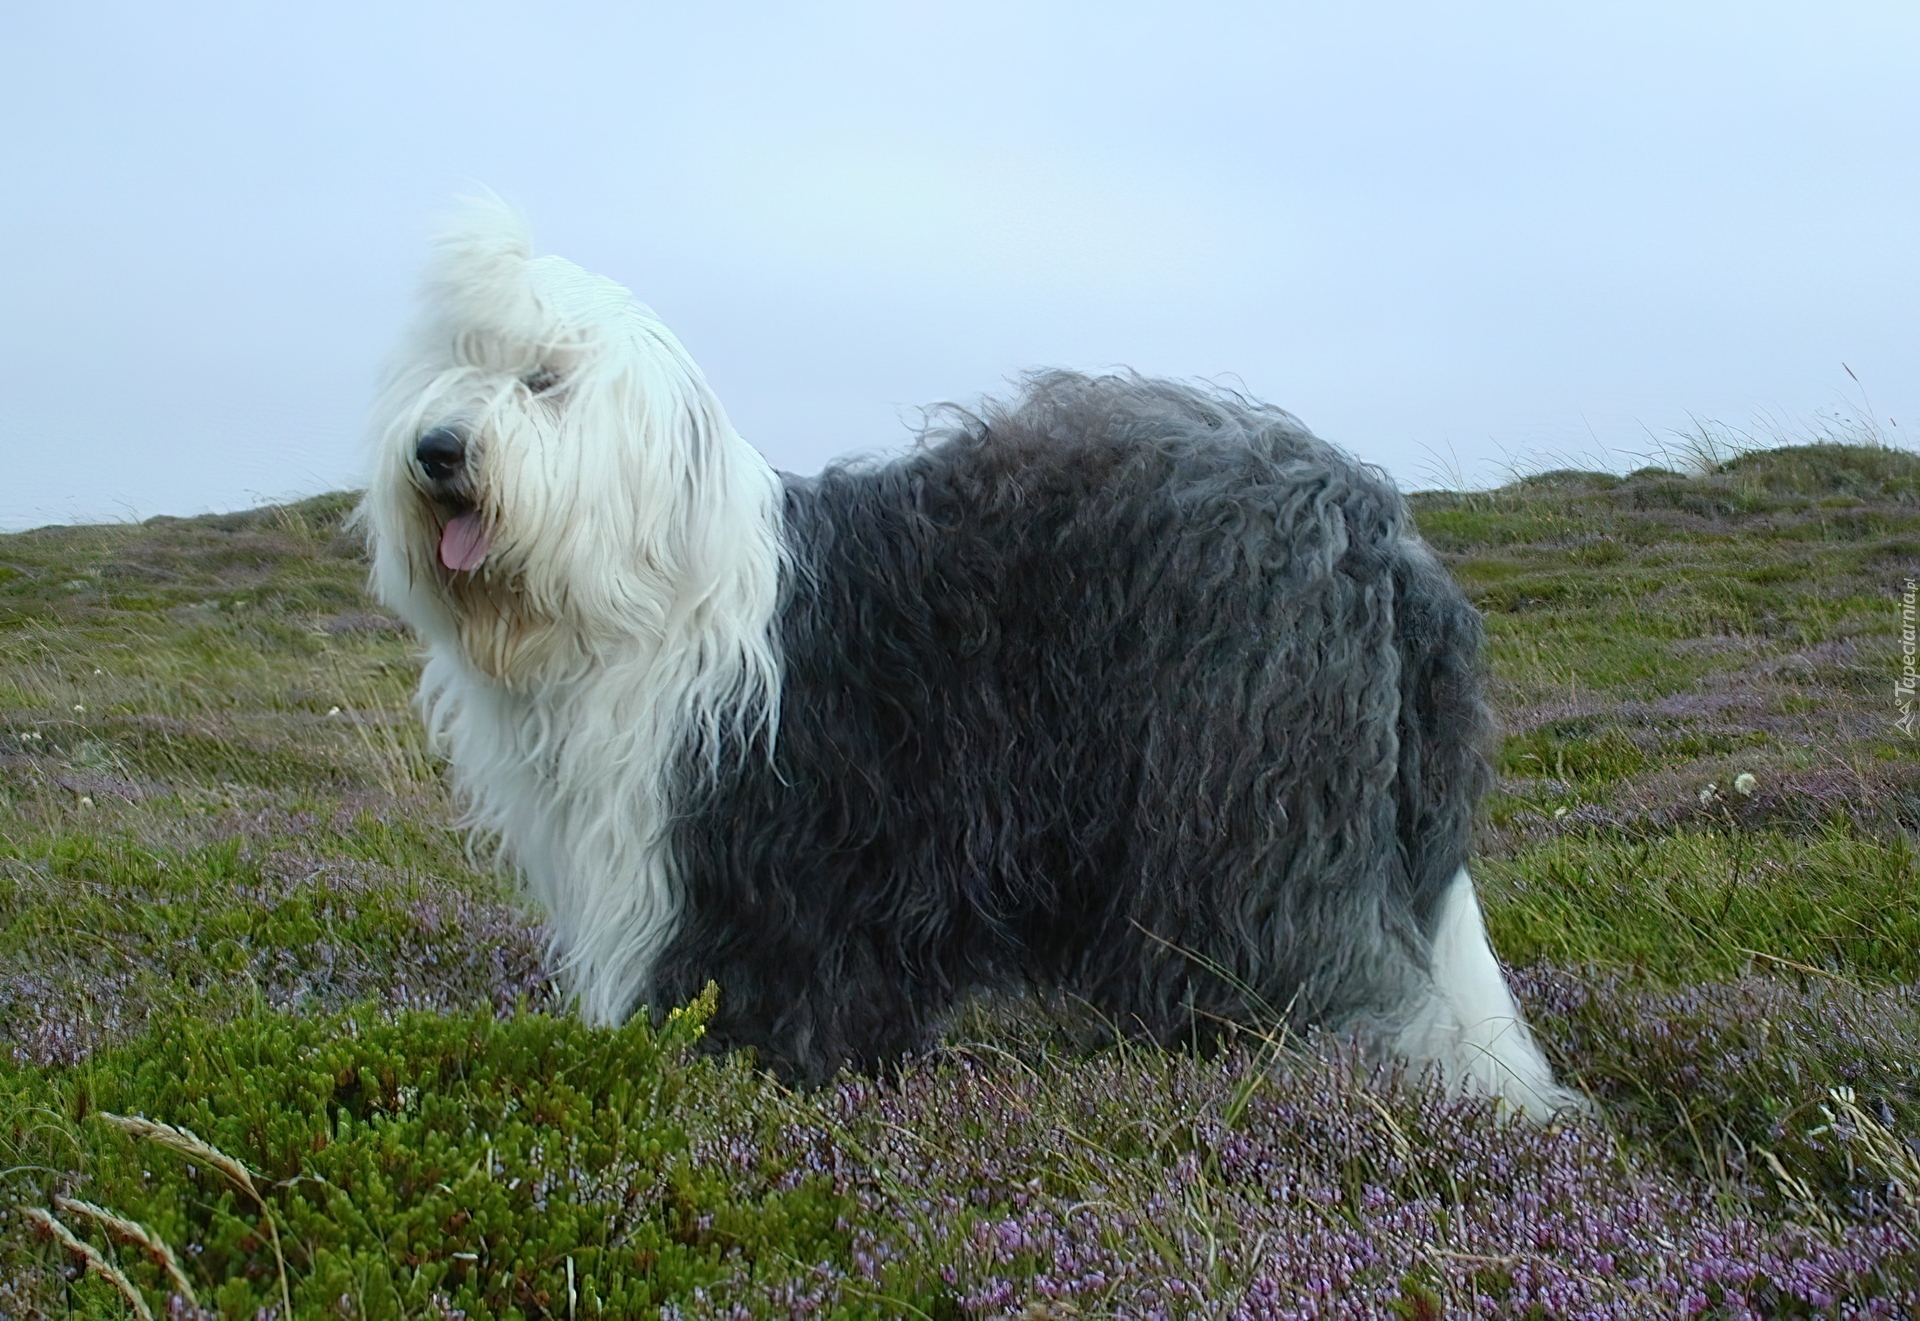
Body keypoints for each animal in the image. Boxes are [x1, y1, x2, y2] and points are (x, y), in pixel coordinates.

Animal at [360, 203, 1574, 1113]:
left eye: (544, 379)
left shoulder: (740, 854)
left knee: (1327, 970)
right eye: (450, 367)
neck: (643, 584)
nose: (438, 451)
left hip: (1256, 809)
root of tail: (1375, 525)